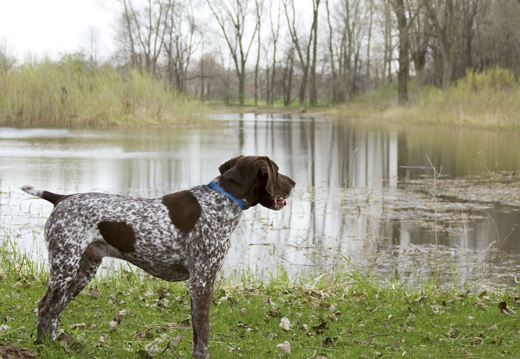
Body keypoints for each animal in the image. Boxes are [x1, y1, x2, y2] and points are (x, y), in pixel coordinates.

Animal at [20, 156, 294, 359]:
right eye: (278, 171)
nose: (293, 182)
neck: (223, 199)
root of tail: (61, 198)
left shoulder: (198, 283)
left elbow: (198, 334)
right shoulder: (202, 282)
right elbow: (202, 335)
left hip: (82, 271)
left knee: (54, 310)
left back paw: (51, 345)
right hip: (65, 266)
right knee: (46, 307)